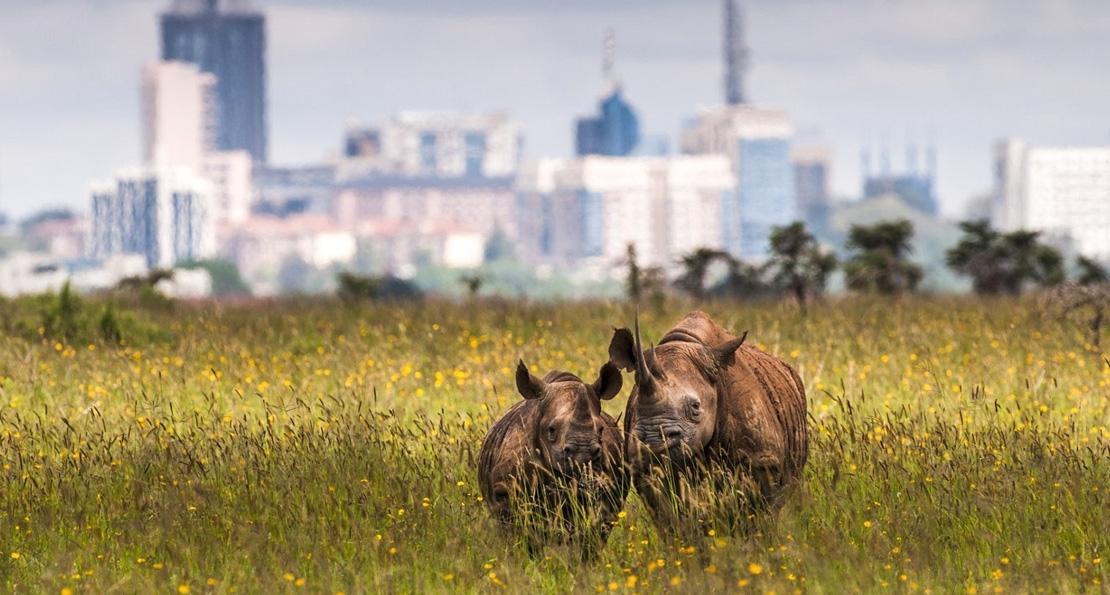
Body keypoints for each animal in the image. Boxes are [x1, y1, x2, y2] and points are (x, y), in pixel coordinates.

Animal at [479, 357, 634, 557]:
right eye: (551, 429)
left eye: (601, 429)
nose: (582, 455)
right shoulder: (505, 492)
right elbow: (522, 536)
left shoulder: (608, 491)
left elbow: (592, 537)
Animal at [608, 310, 808, 535]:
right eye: (634, 408)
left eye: (696, 407)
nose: (654, 442)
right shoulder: (646, 470)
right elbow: (672, 517)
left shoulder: (761, 459)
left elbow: (755, 513)